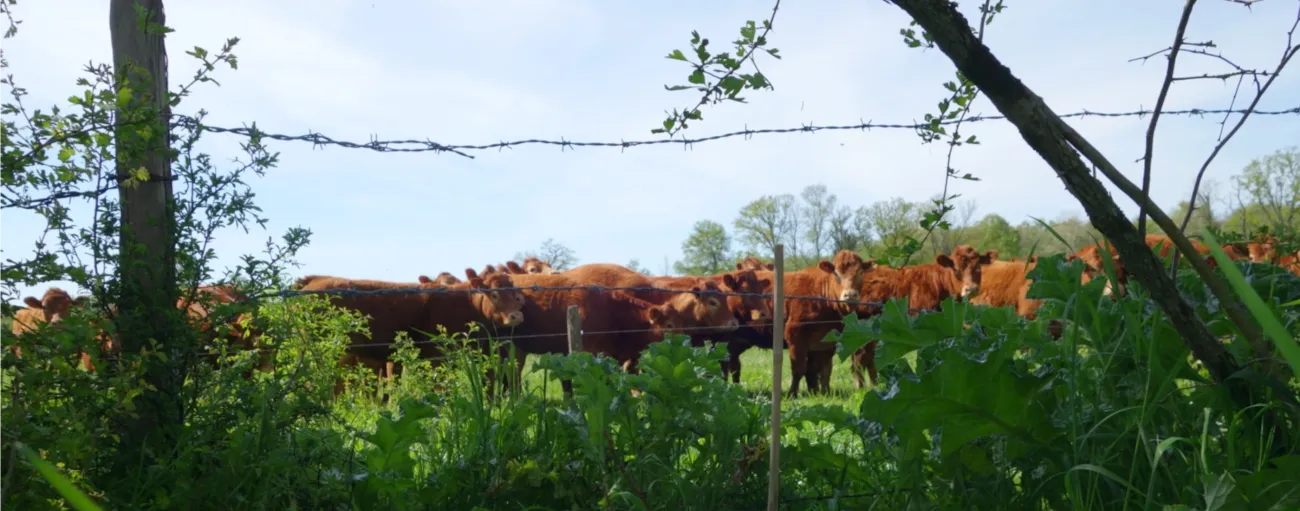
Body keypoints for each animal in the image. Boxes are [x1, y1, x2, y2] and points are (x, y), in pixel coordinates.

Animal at [837, 245, 998, 390]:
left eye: (978, 268)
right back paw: (861, 386)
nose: (971, 288)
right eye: (956, 269)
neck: (939, 284)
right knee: (860, 356)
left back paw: (874, 385)